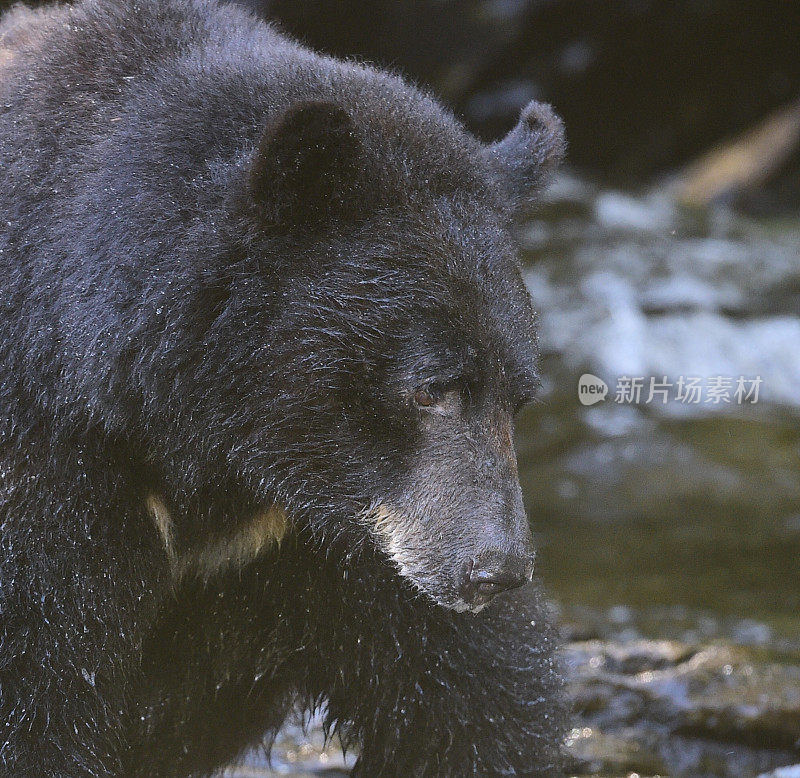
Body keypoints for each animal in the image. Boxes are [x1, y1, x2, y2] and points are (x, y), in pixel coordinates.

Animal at [0, 1, 564, 776]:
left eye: (519, 394)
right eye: (431, 388)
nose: (495, 569)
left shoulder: (341, 535)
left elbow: (467, 694)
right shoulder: (47, 477)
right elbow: (35, 687)